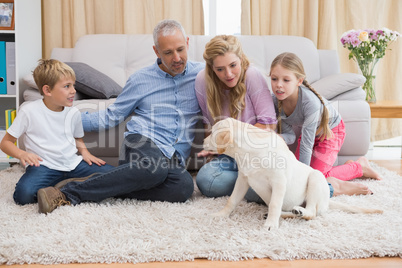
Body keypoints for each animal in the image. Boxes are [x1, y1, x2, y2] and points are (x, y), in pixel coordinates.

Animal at [206, 117, 382, 230]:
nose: (202, 141)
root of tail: (326, 201)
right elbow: (232, 200)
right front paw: (221, 215)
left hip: (315, 178)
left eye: (212, 133)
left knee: (312, 213)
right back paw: (290, 213)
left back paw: (300, 212)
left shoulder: (278, 181)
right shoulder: (243, 179)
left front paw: (271, 225)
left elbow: (275, 204)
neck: (249, 154)